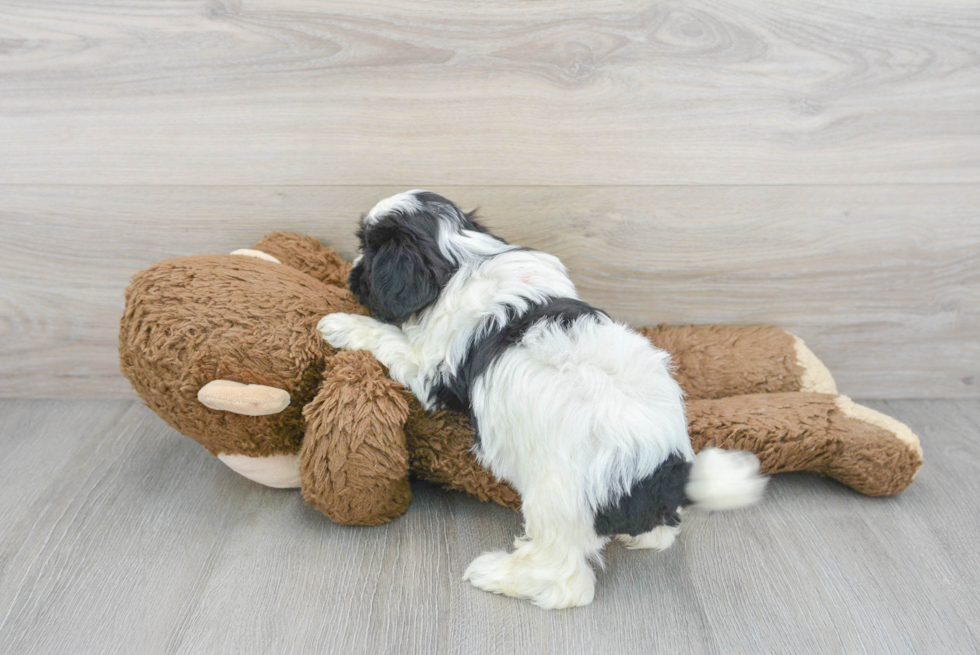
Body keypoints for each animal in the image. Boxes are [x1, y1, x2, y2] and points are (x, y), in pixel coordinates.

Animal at [320, 192, 764, 612]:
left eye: (368, 251)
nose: (350, 271)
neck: (464, 258)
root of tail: (661, 470)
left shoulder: (430, 366)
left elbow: (390, 339)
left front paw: (340, 323)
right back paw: (647, 536)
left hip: (557, 501)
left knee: (565, 579)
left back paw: (499, 574)